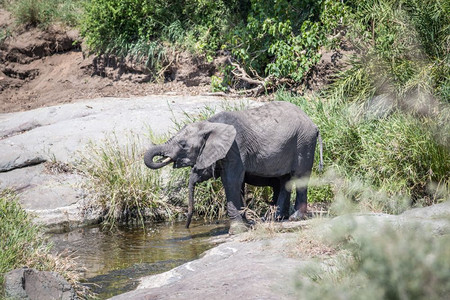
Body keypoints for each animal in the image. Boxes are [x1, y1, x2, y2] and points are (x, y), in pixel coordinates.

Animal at [144, 101, 324, 230]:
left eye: (182, 145)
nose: (187, 227)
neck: (210, 124)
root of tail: (314, 124)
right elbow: (239, 184)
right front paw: (247, 223)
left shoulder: (235, 148)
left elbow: (231, 181)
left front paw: (237, 229)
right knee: (284, 180)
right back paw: (275, 218)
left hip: (304, 142)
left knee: (300, 176)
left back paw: (294, 218)